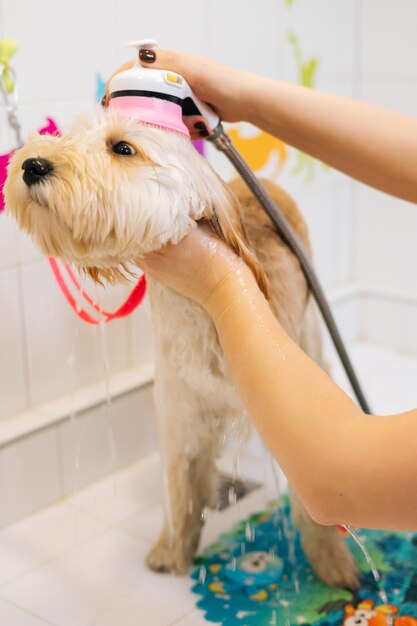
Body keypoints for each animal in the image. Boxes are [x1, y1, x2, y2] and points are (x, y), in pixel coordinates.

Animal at [4, 109, 358, 588]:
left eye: (123, 148)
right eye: (65, 134)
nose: (32, 165)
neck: (208, 320)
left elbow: (312, 511)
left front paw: (332, 563)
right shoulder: (178, 415)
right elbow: (179, 490)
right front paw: (173, 551)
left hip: (311, 338)